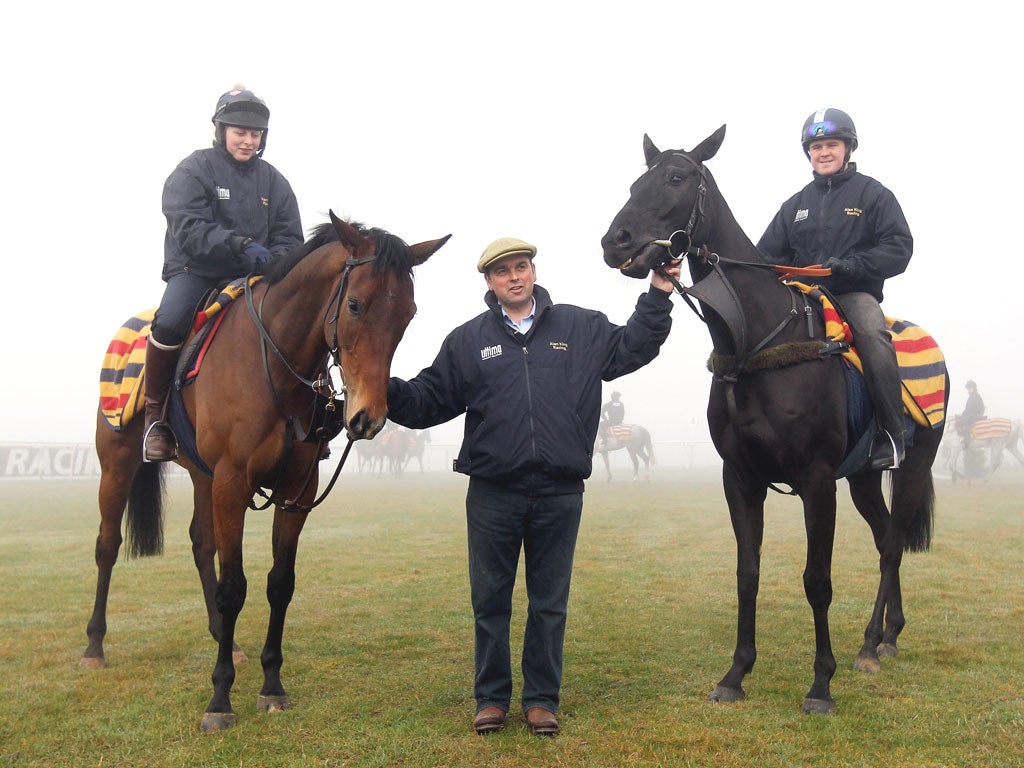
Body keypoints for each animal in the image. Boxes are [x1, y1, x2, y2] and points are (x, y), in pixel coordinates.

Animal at [87, 214, 452, 729]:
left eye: (409, 314)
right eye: (355, 304)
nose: (368, 417)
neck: (273, 367)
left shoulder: (297, 489)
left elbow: (279, 583)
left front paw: (271, 685)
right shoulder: (231, 481)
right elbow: (233, 587)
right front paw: (220, 699)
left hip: (200, 476)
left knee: (201, 546)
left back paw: (226, 639)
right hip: (118, 462)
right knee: (108, 546)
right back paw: (94, 646)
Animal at [602, 124, 946, 716]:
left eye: (677, 178)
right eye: (634, 182)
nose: (615, 242)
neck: (757, 341)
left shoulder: (816, 481)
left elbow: (817, 580)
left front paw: (821, 685)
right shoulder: (740, 478)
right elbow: (748, 573)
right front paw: (736, 673)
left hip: (912, 466)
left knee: (893, 543)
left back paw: (871, 646)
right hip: (862, 479)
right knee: (885, 539)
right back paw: (884, 636)